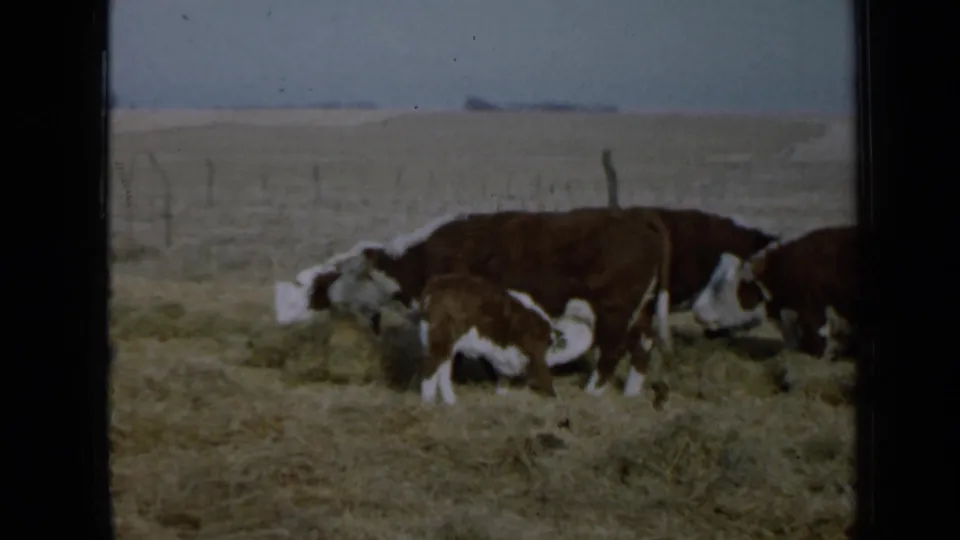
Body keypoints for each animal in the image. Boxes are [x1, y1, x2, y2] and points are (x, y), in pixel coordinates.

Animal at [322, 208, 674, 398]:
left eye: (352, 272)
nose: (330, 292)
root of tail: (638, 218)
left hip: (614, 312)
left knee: (613, 351)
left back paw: (593, 390)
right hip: (640, 313)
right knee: (642, 348)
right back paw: (630, 392)